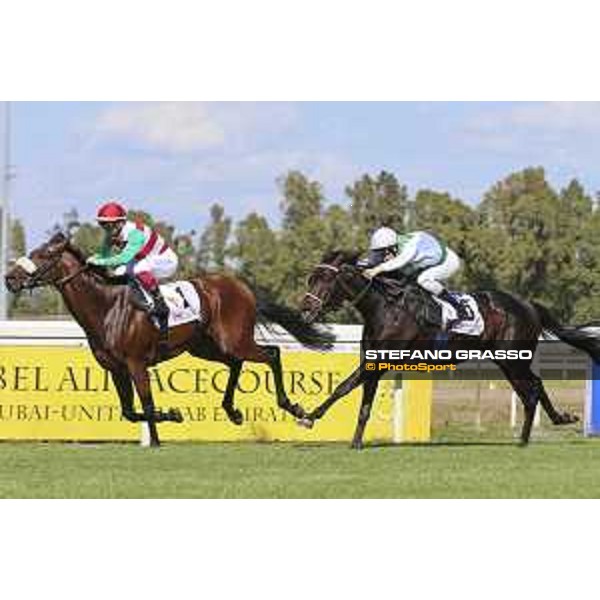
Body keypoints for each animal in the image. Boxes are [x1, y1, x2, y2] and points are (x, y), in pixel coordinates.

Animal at [4, 232, 332, 448]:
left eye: (43, 255)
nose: (10, 278)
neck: (107, 307)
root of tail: (242, 287)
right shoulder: (116, 368)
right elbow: (129, 411)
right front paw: (166, 421)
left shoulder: (136, 362)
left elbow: (147, 403)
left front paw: (161, 433)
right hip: (205, 346)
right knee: (235, 364)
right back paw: (233, 411)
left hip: (234, 339)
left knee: (271, 354)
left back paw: (294, 408)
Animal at [300, 250, 600, 450]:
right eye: (310, 278)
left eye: (325, 278)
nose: (305, 309)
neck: (385, 306)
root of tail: (528, 305)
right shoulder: (373, 361)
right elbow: (358, 398)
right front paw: (348, 438)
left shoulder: (380, 360)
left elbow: (349, 390)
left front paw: (312, 419)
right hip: (507, 361)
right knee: (531, 389)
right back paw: (537, 431)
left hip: (513, 358)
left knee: (533, 388)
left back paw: (540, 430)